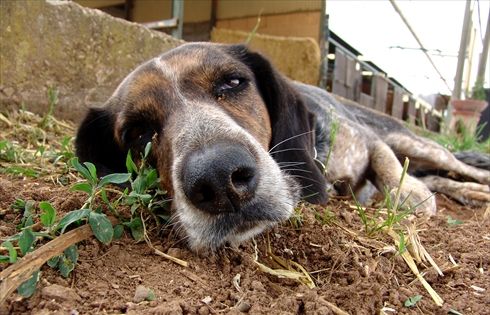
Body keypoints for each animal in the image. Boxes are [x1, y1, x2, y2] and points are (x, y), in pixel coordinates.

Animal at [76, 43, 490, 253]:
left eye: (232, 82)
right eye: (137, 133)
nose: (220, 180)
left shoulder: (365, 140)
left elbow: (387, 166)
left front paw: (409, 196)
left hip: (416, 143)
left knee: (450, 167)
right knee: (440, 179)